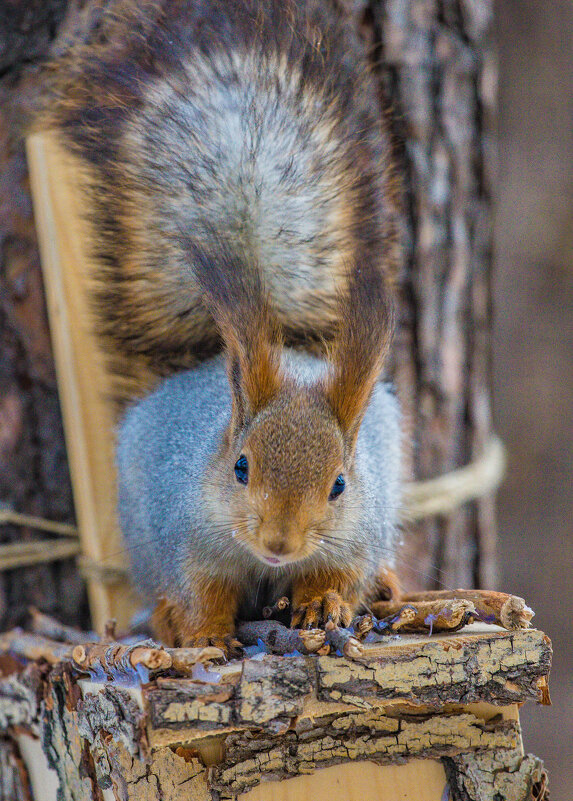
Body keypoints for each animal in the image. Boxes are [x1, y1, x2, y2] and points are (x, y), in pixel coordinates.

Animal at [44, 0, 400, 648]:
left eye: (339, 484)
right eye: (240, 467)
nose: (280, 543)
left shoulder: (352, 538)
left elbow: (336, 574)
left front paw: (324, 604)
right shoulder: (189, 542)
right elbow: (200, 592)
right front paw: (206, 636)